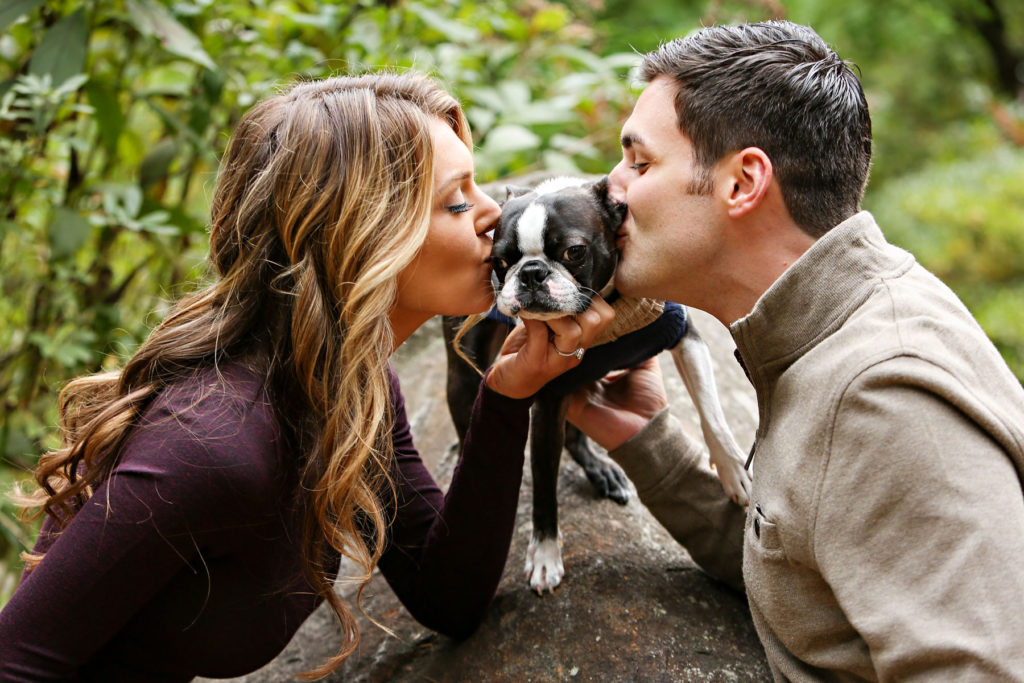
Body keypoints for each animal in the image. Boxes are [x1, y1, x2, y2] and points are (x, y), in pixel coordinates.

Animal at [442, 175, 753, 593]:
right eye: (499, 262)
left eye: (574, 251)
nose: (531, 272)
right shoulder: (549, 395)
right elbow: (544, 483)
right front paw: (545, 552)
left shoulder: (685, 335)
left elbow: (712, 412)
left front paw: (734, 471)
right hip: (463, 374)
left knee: (575, 439)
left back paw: (602, 471)